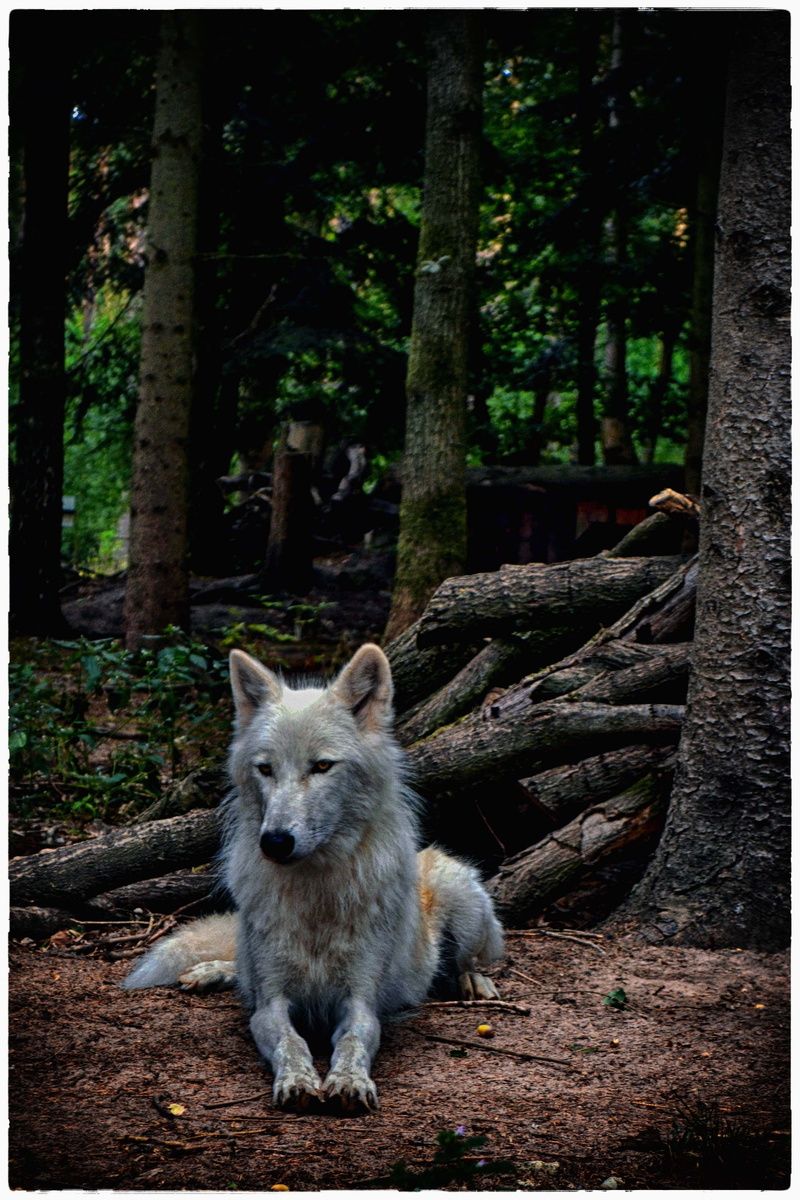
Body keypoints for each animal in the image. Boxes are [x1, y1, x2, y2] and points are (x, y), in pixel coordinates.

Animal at [122, 643, 503, 1113]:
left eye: (322, 766)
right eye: (265, 769)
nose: (274, 842)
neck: (315, 893)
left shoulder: (360, 1001)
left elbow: (355, 1039)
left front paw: (348, 1081)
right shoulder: (270, 1003)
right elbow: (290, 1041)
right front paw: (299, 1080)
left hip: (464, 900)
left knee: (470, 959)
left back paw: (472, 980)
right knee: (240, 967)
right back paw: (213, 970)